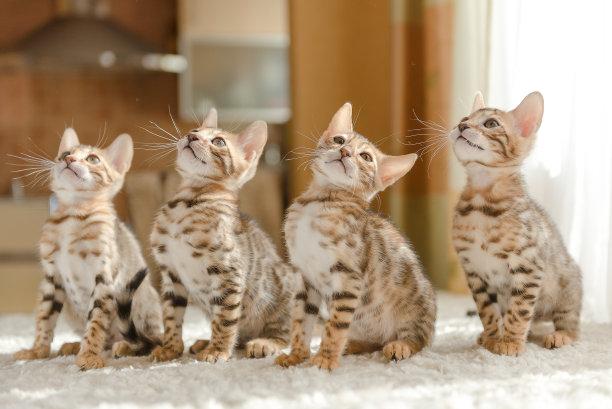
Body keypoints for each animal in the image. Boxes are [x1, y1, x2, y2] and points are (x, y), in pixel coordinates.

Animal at [14, 128, 162, 370]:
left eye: (93, 159)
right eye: (65, 153)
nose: (68, 159)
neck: (72, 215)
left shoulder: (104, 276)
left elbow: (96, 319)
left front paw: (89, 356)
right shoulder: (51, 277)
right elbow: (44, 317)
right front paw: (37, 351)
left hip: (141, 300)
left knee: (148, 339)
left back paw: (125, 347)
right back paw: (74, 345)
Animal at [149, 109, 295, 363]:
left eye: (218, 142)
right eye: (195, 130)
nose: (191, 137)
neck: (187, 203)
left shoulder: (228, 271)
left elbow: (225, 318)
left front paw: (218, 350)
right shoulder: (171, 272)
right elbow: (171, 315)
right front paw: (170, 348)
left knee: (286, 333)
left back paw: (264, 343)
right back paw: (203, 341)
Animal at [275, 103, 436, 370]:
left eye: (366, 157)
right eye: (339, 140)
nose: (345, 151)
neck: (320, 202)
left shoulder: (348, 276)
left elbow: (335, 325)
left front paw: (325, 359)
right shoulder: (305, 277)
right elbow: (300, 321)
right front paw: (296, 355)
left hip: (416, 307)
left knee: (417, 339)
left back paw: (399, 346)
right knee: (372, 342)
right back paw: (353, 345)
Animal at [450, 91, 582, 356]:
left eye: (491, 123)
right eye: (464, 118)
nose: (461, 126)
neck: (481, 204)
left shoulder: (528, 265)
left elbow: (520, 309)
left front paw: (510, 342)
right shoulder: (473, 270)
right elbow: (487, 310)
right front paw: (493, 337)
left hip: (569, 286)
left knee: (571, 324)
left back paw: (560, 335)